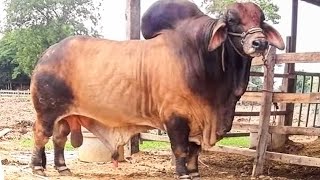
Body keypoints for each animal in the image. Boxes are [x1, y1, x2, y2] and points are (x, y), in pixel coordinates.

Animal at [30, 0, 284, 179]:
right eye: (232, 20)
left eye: (261, 19)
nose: (260, 43)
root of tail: (47, 53)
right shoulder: (176, 117)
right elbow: (181, 150)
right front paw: (183, 174)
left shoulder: (199, 122)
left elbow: (195, 151)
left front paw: (194, 173)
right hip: (46, 112)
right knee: (41, 135)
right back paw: (37, 168)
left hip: (66, 115)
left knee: (59, 138)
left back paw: (62, 168)